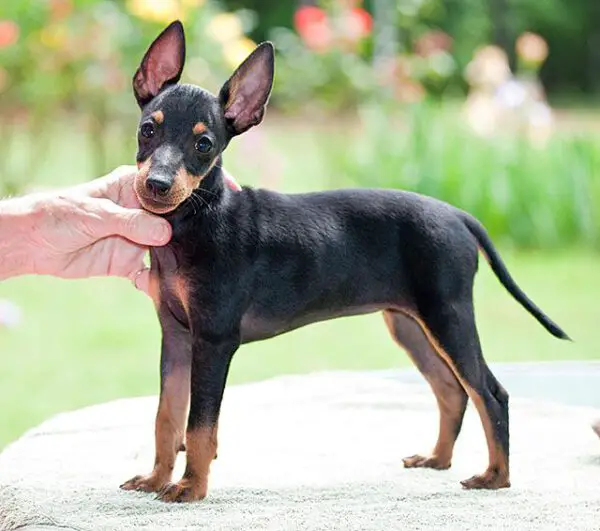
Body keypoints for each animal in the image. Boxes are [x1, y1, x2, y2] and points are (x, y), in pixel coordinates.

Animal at [119, 20, 568, 502]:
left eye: (204, 144)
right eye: (147, 130)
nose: (157, 185)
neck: (199, 218)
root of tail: (457, 214)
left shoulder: (214, 340)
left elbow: (200, 425)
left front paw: (191, 487)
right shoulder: (176, 337)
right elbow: (167, 416)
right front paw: (156, 478)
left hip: (448, 316)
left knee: (490, 392)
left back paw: (496, 477)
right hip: (411, 325)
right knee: (452, 391)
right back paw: (438, 458)